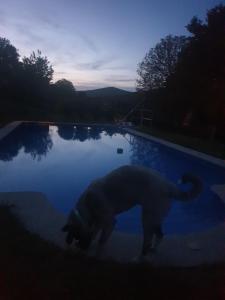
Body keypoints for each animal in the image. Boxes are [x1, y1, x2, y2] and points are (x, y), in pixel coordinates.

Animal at [61, 165, 202, 256]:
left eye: (77, 236)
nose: (81, 247)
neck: (88, 204)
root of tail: (168, 185)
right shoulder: (100, 221)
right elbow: (96, 232)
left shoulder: (109, 222)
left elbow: (101, 241)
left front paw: (96, 252)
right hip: (155, 217)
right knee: (159, 235)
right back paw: (152, 250)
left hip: (147, 218)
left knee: (148, 239)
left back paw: (141, 256)